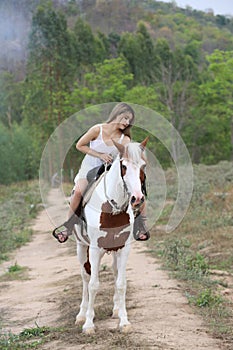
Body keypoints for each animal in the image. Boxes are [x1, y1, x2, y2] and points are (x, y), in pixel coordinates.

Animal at [73, 137, 148, 334]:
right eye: (124, 166)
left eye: (143, 165)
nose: (137, 199)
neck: (112, 209)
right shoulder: (94, 249)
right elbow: (93, 285)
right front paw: (88, 324)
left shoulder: (124, 249)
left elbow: (121, 283)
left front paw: (124, 321)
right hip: (81, 247)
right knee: (85, 277)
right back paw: (81, 314)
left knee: (114, 272)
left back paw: (115, 310)